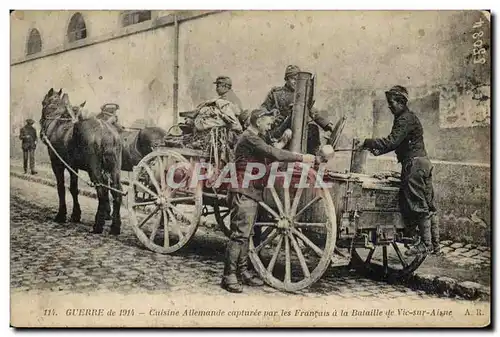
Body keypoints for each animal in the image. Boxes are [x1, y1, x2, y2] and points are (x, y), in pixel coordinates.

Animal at [40, 88, 124, 234]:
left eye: (43, 102)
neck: (57, 122)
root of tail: (107, 133)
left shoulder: (57, 164)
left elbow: (61, 187)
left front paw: (61, 215)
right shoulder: (73, 166)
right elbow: (74, 189)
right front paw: (75, 214)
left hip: (94, 169)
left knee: (102, 191)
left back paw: (98, 225)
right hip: (115, 169)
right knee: (116, 191)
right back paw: (115, 227)